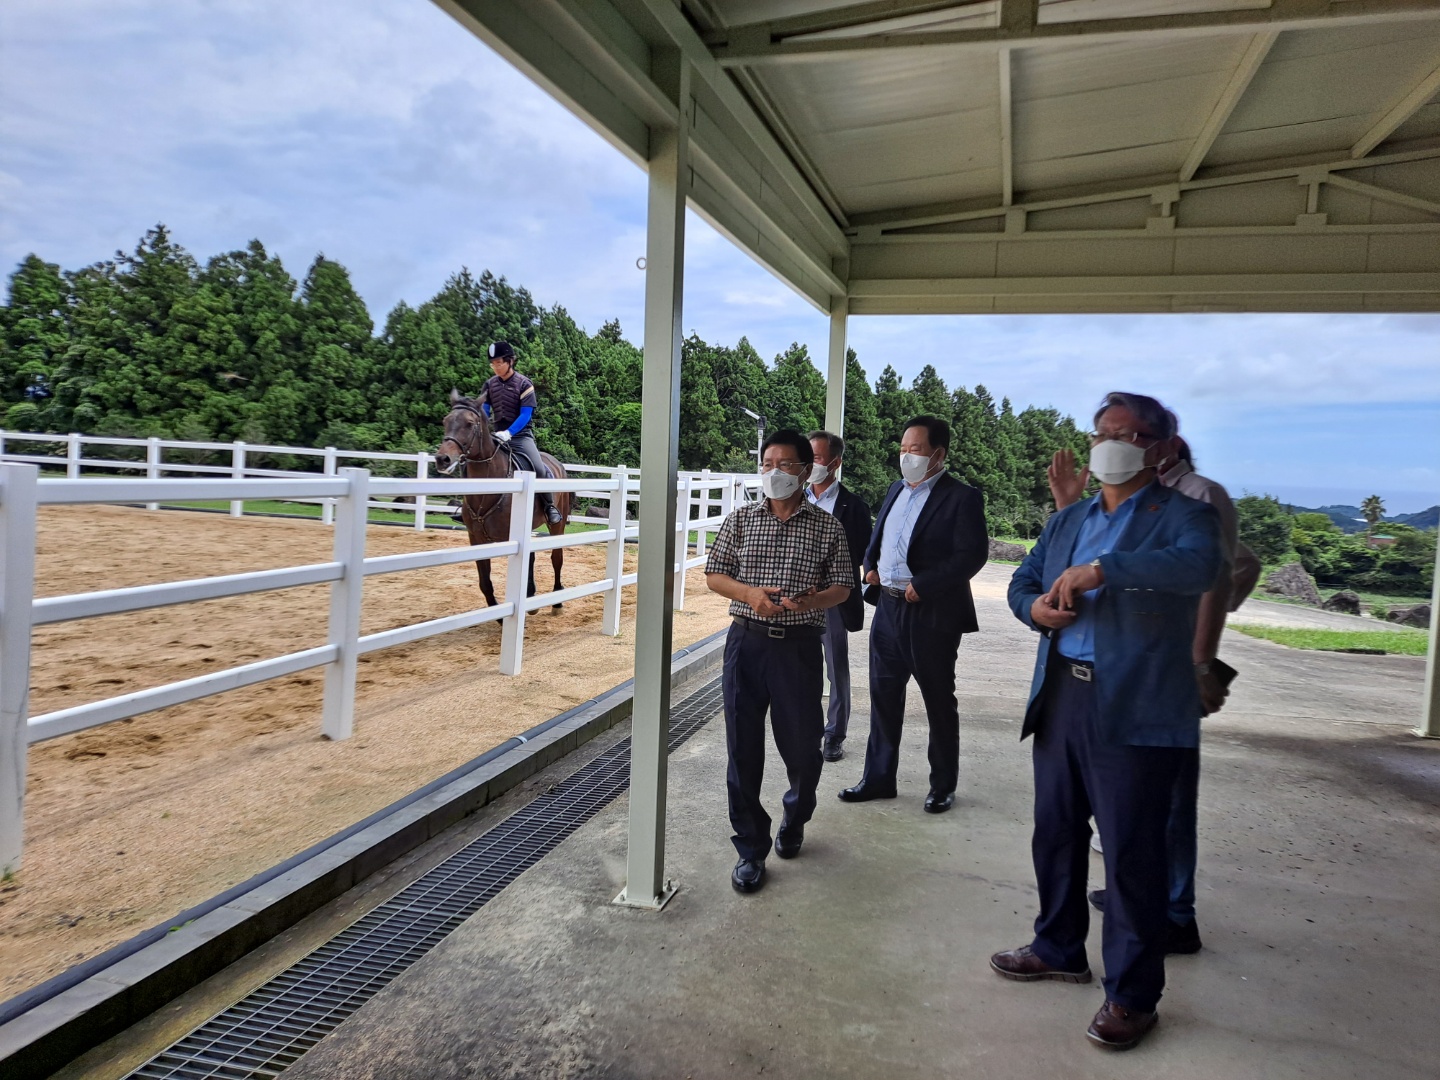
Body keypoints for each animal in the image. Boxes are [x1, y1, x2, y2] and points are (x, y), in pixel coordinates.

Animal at [434, 388, 570, 610]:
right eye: (445, 420)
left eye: (469, 423)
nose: (442, 459)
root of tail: (557, 464)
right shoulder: (476, 539)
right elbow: (484, 581)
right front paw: (496, 610)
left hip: (557, 524)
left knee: (556, 557)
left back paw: (557, 598)